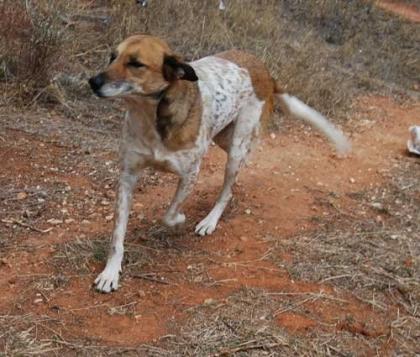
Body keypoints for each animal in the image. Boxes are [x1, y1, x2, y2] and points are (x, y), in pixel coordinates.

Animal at [88, 34, 348, 292]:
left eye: (136, 64)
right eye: (112, 57)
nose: (92, 81)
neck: (150, 117)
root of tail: (264, 71)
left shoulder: (191, 173)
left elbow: (170, 214)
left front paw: (180, 220)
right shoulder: (128, 176)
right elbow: (117, 235)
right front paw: (110, 273)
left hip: (236, 149)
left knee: (228, 190)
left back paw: (209, 221)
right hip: (224, 138)